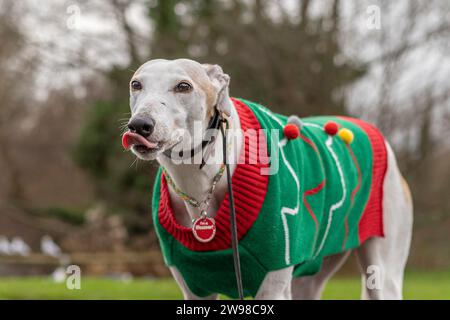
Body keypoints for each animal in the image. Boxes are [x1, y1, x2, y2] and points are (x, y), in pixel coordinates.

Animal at [121, 58, 414, 300]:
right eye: (136, 84)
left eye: (183, 86)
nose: (140, 125)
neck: (201, 182)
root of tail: (375, 132)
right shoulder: (195, 289)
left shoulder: (273, 283)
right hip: (310, 276)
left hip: (383, 271)